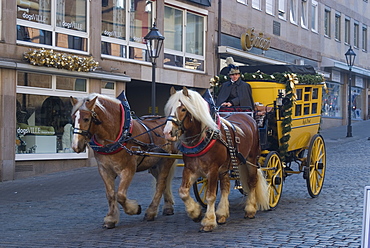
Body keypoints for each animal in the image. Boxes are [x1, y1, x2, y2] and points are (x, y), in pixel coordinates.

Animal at [71, 91, 178, 229]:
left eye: (86, 119)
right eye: (73, 117)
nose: (75, 145)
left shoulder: (128, 169)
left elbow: (120, 195)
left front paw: (135, 209)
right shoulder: (104, 170)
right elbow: (110, 194)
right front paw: (111, 218)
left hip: (166, 161)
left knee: (161, 184)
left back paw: (151, 211)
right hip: (155, 164)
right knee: (163, 182)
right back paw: (167, 206)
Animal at [163, 87, 268, 232]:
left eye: (183, 109)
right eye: (169, 108)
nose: (167, 132)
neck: (204, 137)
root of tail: (248, 117)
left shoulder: (212, 170)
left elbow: (210, 196)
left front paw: (208, 221)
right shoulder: (190, 169)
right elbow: (183, 192)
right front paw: (196, 213)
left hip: (251, 160)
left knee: (252, 182)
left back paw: (250, 209)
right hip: (225, 166)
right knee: (226, 186)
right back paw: (222, 214)